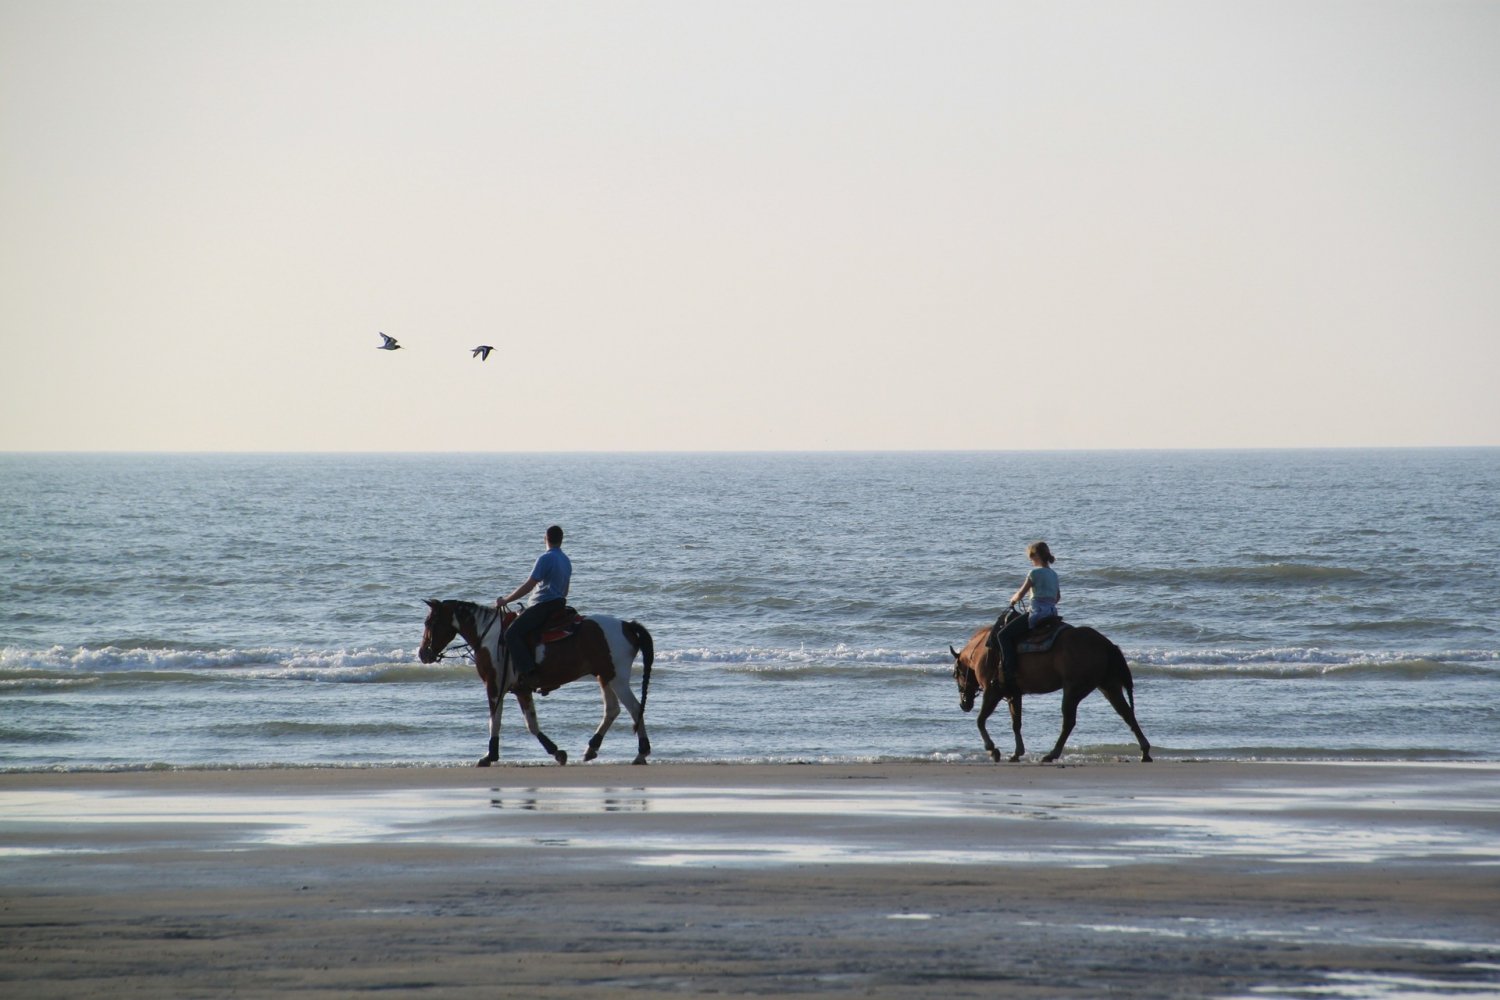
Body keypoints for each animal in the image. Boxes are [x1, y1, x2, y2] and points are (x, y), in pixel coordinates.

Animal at [423, 599, 657, 773]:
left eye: (429, 622)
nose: (422, 653)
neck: (488, 636)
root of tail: (627, 625)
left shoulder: (494, 685)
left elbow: (495, 720)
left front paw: (489, 756)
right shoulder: (521, 689)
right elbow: (532, 724)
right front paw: (557, 752)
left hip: (617, 677)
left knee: (635, 708)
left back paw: (641, 752)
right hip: (604, 676)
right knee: (612, 709)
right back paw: (591, 748)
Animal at [948, 617, 1146, 767]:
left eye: (956, 674)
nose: (963, 703)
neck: (983, 650)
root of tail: (1106, 644)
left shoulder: (992, 692)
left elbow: (980, 721)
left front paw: (993, 749)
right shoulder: (1014, 694)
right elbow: (1016, 723)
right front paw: (1016, 753)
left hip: (1073, 690)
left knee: (1069, 722)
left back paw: (1051, 754)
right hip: (1108, 686)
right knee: (1127, 714)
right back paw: (1145, 752)